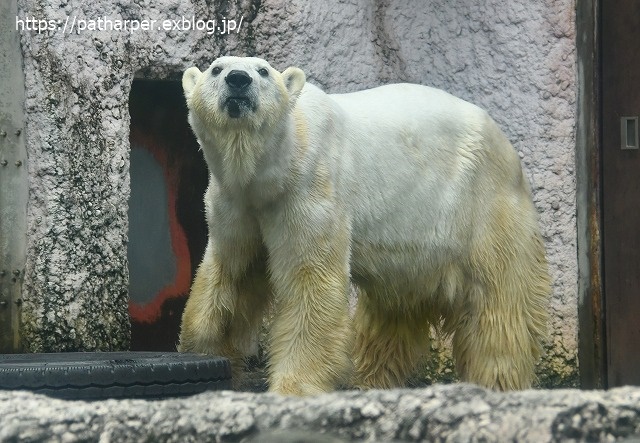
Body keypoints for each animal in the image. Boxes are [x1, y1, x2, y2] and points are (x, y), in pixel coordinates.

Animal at [179, 54, 552, 396]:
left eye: (263, 71)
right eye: (216, 68)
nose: (238, 80)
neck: (272, 167)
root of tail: (510, 152)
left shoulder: (310, 188)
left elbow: (310, 283)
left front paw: (293, 386)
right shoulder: (236, 203)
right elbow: (231, 274)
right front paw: (204, 351)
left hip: (483, 206)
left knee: (496, 307)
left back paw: (498, 381)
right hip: (414, 246)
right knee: (393, 313)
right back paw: (371, 381)